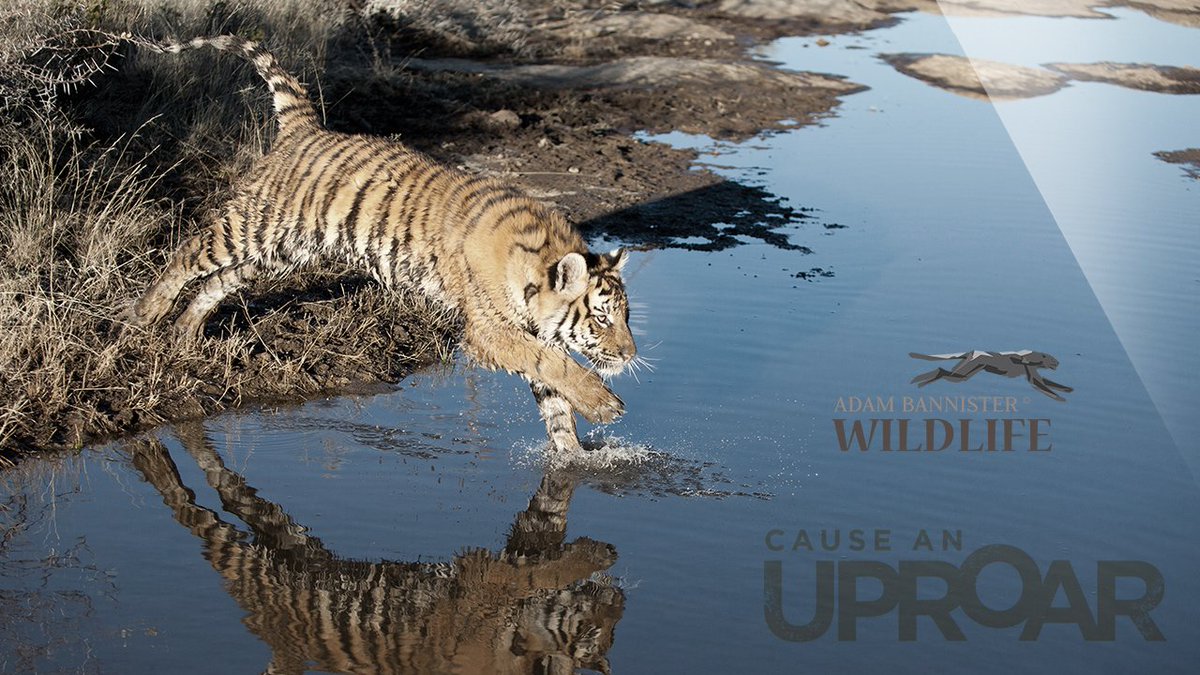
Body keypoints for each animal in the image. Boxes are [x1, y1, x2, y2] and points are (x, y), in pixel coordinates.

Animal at [113, 33, 637, 448]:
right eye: (602, 318)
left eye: (626, 316)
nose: (631, 355)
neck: (535, 270)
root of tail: (305, 127)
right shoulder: (489, 331)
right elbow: (553, 363)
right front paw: (604, 404)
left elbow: (553, 396)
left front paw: (571, 458)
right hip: (249, 228)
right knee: (188, 255)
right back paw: (143, 316)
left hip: (281, 252)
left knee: (217, 283)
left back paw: (184, 333)